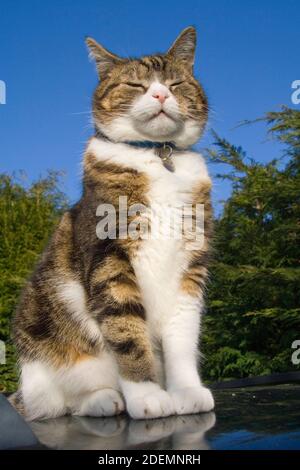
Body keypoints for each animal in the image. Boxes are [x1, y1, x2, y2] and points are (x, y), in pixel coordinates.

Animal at [9, 25, 216, 420]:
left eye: (176, 82)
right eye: (136, 85)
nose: (161, 93)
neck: (158, 155)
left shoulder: (191, 265)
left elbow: (183, 335)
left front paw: (186, 392)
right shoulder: (109, 257)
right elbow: (126, 330)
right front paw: (148, 396)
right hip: (40, 343)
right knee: (61, 404)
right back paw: (105, 399)